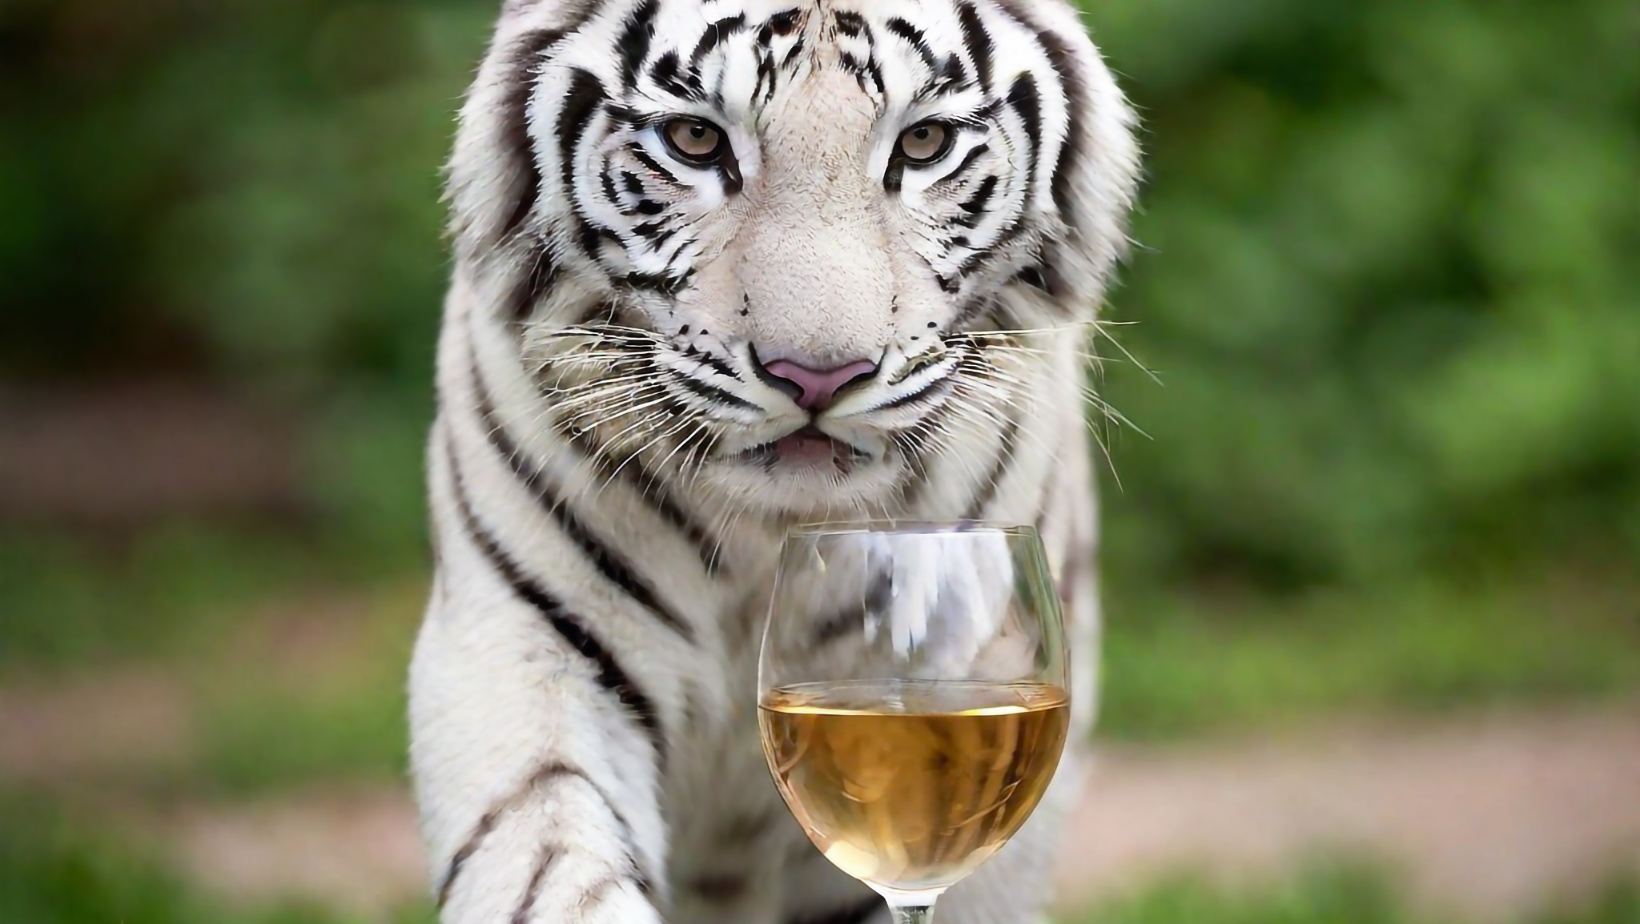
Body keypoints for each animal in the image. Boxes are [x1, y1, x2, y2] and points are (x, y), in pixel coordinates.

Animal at [410, 1, 1140, 922]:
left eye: (925, 142)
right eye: (694, 139)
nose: (817, 375)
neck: (769, 544)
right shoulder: (523, 646)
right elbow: (552, 870)